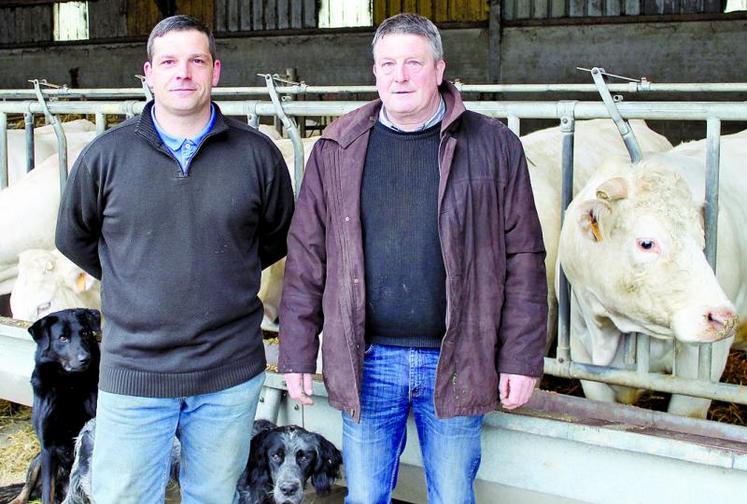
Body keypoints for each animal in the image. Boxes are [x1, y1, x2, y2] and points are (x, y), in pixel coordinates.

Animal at [10, 308, 101, 504]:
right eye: (63, 338)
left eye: (85, 333)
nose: (86, 358)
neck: (70, 385)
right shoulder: (47, 447)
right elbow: (47, 492)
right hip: (37, 459)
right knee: (27, 487)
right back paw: (18, 499)